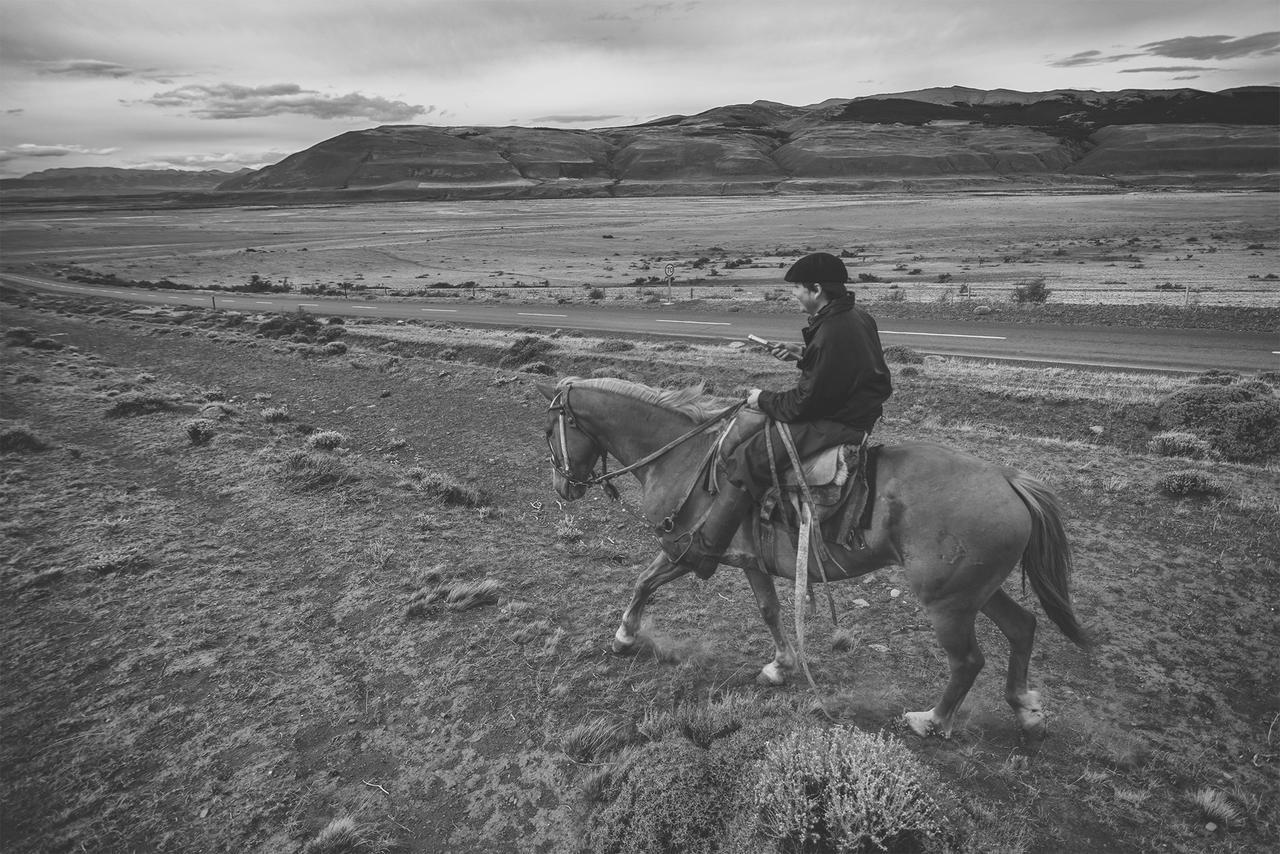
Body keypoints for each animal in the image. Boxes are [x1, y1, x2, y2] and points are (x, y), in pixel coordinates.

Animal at [535, 376, 1085, 752]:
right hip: (977, 592)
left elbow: (644, 581)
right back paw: (1027, 711)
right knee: (1023, 627)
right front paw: (781, 665)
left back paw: (932, 720)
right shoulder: (750, 561)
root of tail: (1008, 478)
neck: (685, 459)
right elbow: (770, 610)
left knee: (968, 660)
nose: (562, 486)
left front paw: (625, 636)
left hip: (948, 602)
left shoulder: (687, 551)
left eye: (548, 429)